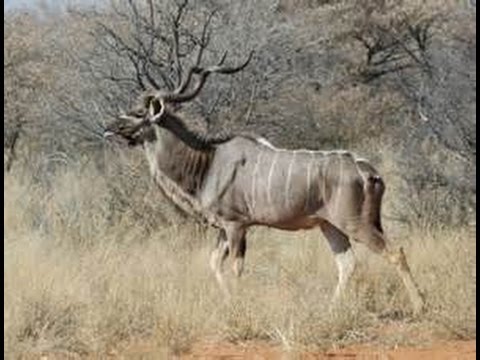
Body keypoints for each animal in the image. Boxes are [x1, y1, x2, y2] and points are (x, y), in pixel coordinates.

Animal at [104, 52, 424, 312]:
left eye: (137, 114)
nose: (108, 127)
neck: (208, 161)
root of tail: (370, 172)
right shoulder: (224, 228)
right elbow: (214, 263)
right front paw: (229, 303)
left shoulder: (236, 225)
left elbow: (236, 267)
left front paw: (239, 305)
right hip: (330, 225)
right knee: (347, 263)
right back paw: (331, 309)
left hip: (355, 223)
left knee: (395, 252)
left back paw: (421, 305)